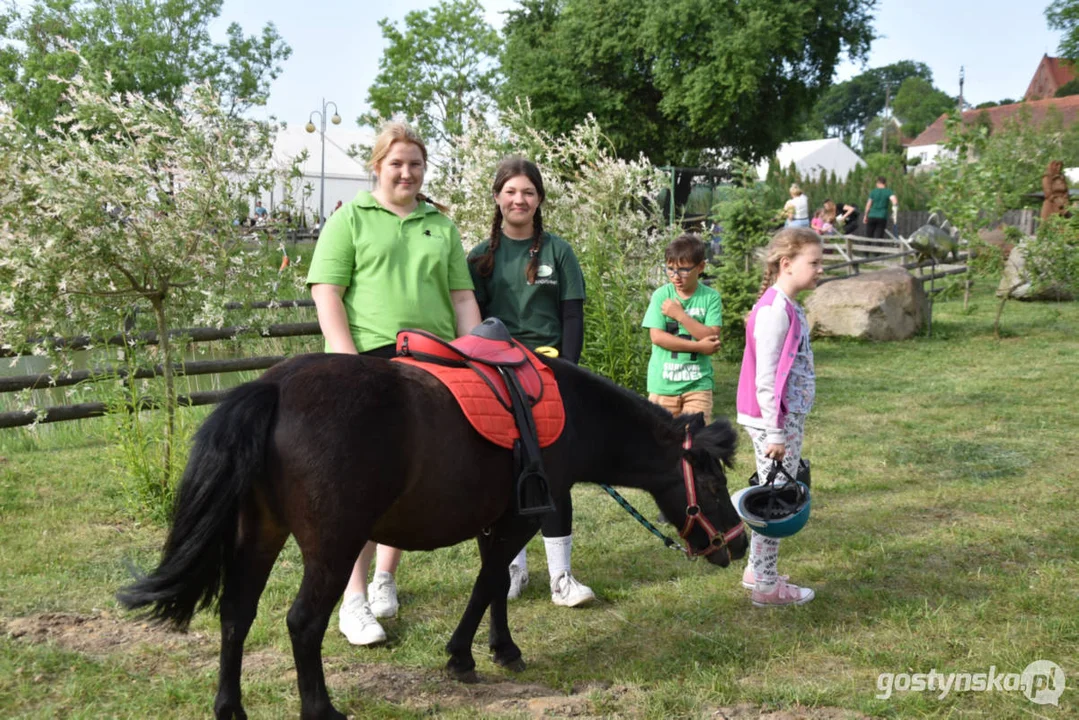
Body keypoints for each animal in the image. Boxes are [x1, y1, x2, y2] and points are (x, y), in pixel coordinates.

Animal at [115, 354, 742, 720]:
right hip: (333, 546)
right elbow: (487, 584)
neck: (568, 414)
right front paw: (463, 655)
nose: (735, 546)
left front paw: (501, 649)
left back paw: (230, 708)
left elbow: (496, 587)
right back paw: (321, 710)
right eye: (713, 481)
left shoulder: (499, 521)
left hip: (260, 534)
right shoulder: (520, 520)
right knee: (302, 622)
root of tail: (276, 387)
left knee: (235, 615)